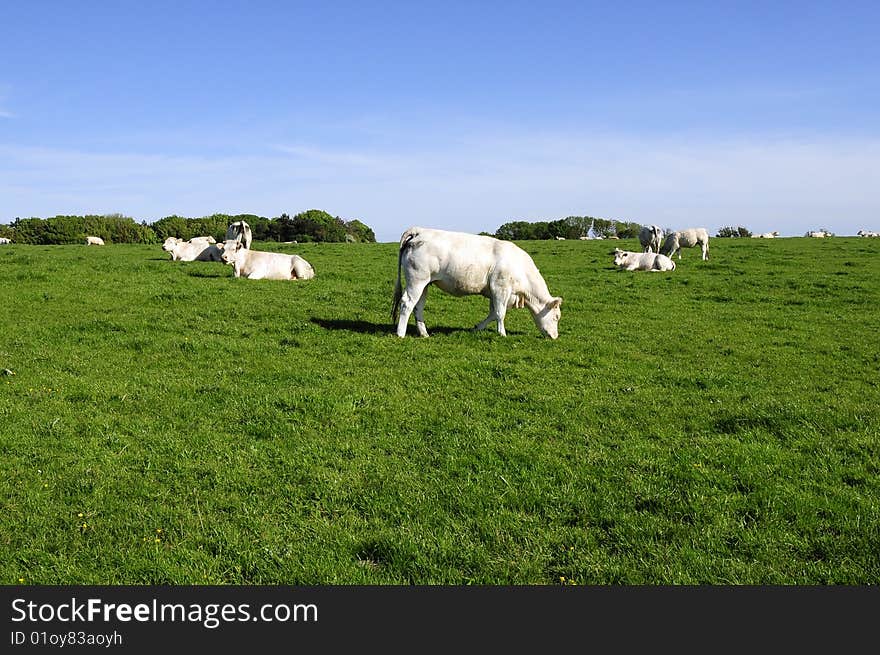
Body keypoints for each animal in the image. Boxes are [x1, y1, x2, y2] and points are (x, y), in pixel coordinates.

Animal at [392, 226, 564, 338]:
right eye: (556, 317)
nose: (555, 336)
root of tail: (419, 230)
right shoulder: (500, 288)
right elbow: (500, 313)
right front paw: (502, 334)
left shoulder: (495, 293)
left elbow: (493, 314)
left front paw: (477, 328)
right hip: (416, 281)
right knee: (407, 303)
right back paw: (401, 334)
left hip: (425, 284)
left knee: (418, 307)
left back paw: (424, 333)